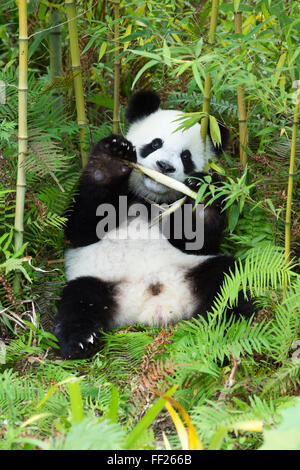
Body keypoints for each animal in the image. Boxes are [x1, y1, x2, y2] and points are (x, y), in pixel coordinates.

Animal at [53, 89, 253, 360]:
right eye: (156, 143)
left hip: (195, 269)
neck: (150, 198)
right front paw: (111, 161)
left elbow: (198, 240)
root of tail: (154, 306)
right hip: (98, 280)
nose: (165, 166)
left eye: (186, 156)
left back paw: (228, 327)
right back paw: (81, 342)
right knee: (79, 302)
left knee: (226, 282)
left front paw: (201, 193)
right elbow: (81, 227)